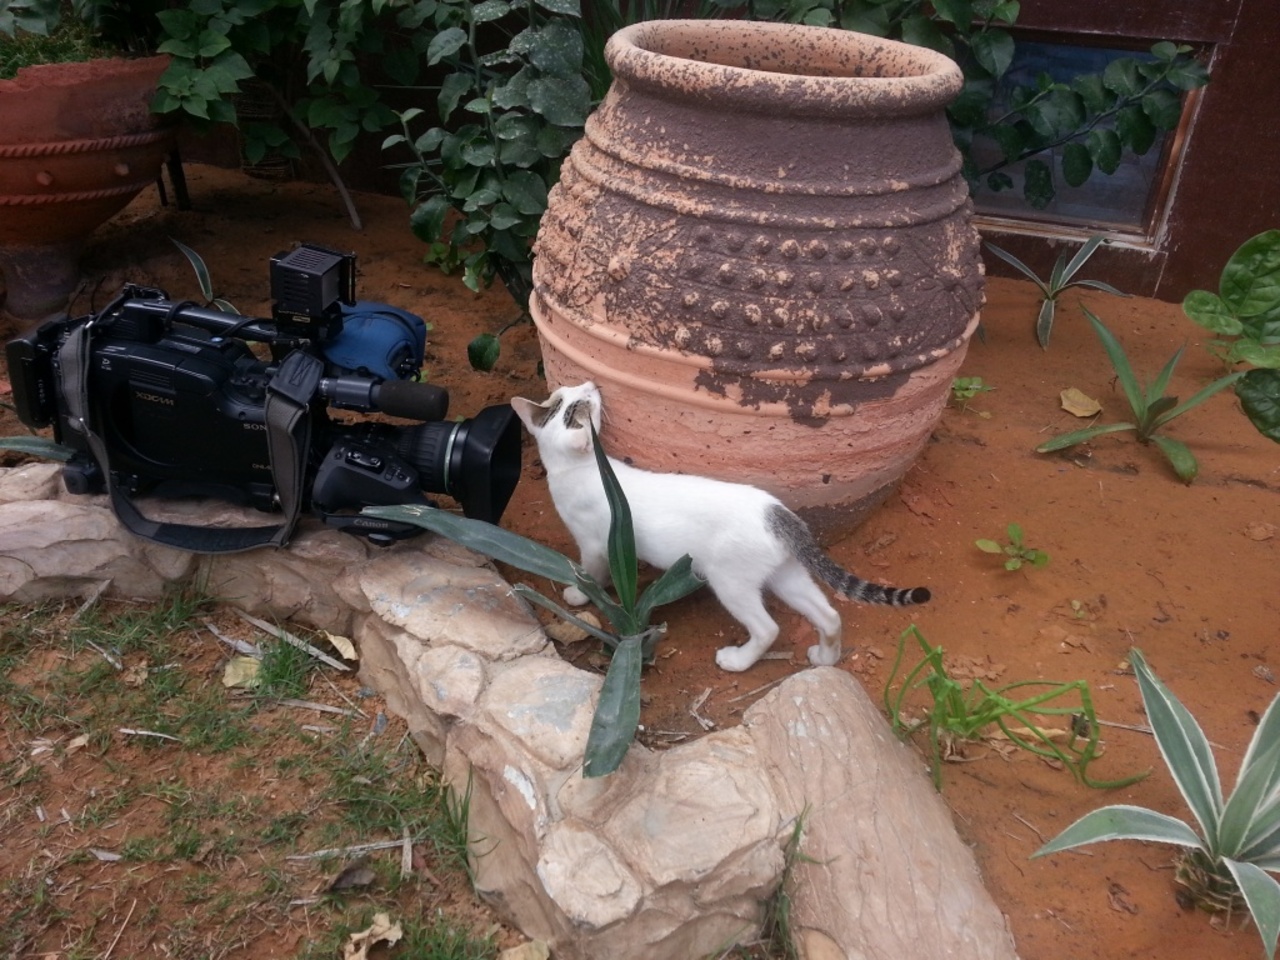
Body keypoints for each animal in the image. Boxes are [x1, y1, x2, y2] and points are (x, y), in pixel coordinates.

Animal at [511, 381, 930, 673]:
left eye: (581, 404)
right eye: (565, 395)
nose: (591, 383)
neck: (584, 468)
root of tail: (778, 514)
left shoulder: (596, 544)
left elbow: (589, 573)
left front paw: (577, 595)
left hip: (729, 580)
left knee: (768, 628)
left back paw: (738, 661)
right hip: (785, 575)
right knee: (828, 614)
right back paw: (825, 657)